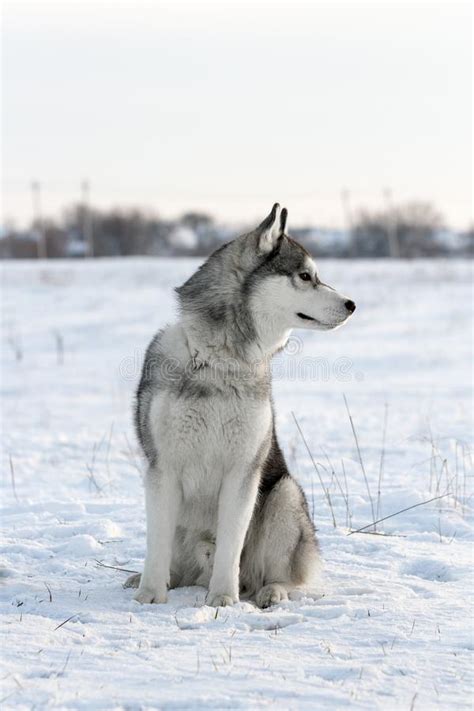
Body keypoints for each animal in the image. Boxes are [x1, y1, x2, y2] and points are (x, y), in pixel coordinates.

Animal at [126, 203, 356, 608]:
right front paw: (150, 594)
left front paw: (222, 598)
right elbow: (156, 544)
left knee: (282, 575)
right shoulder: (162, 469)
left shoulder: (243, 472)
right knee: (176, 564)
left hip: (284, 496)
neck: (218, 362)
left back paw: (271, 591)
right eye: (305, 276)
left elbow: (230, 546)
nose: (352, 304)